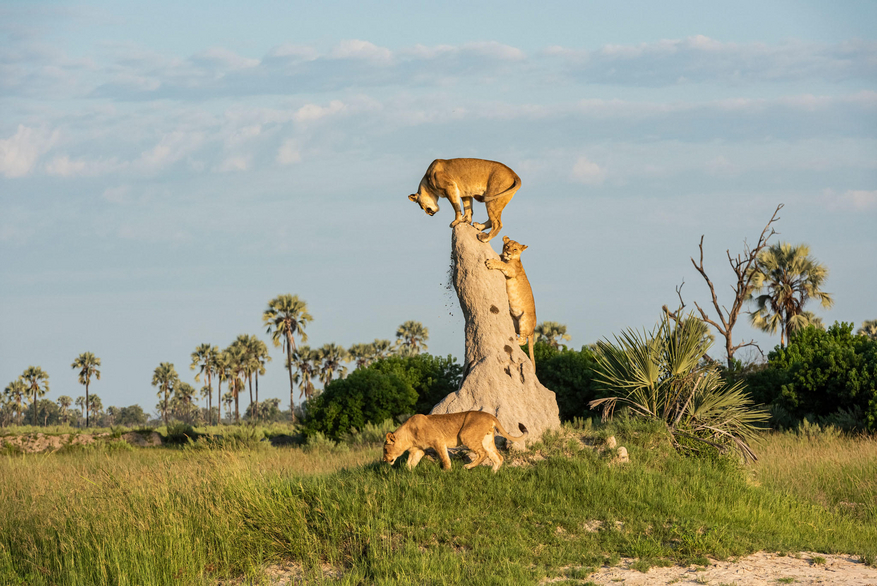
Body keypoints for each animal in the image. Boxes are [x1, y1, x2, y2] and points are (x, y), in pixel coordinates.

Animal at [382, 410, 528, 470]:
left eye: (385, 450)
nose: (384, 460)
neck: (408, 436)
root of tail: (490, 415)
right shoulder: (418, 450)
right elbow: (410, 463)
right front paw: (407, 473)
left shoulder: (438, 441)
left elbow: (444, 458)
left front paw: (446, 471)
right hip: (486, 440)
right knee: (498, 457)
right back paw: (493, 473)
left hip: (466, 435)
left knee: (483, 453)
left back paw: (468, 466)